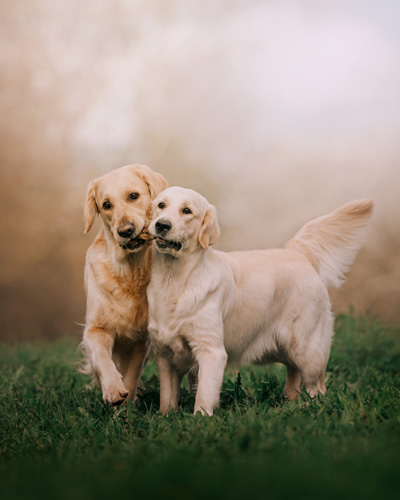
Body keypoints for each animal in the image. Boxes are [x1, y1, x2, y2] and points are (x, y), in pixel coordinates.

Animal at [79, 165, 167, 406]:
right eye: (106, 205)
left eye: (133, 196)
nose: (126, 230)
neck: (128, 270)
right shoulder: (95, 328)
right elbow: (102, 358)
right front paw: (112, 389)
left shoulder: (141, 339)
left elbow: (132, 375)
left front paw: (126, 406)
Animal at [148, 187, 376, 414]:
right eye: (161, 205)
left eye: (187, 210)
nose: (161, 225)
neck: (175, 280)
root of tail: (298, 253)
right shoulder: (165, 355)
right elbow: (166, 396)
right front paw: (166, 416)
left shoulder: (211, 351)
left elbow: (204, 395)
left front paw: (200, 418)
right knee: (294, 376)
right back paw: (290, 406)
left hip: (307, 349)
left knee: (316, 386)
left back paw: (310, 409)